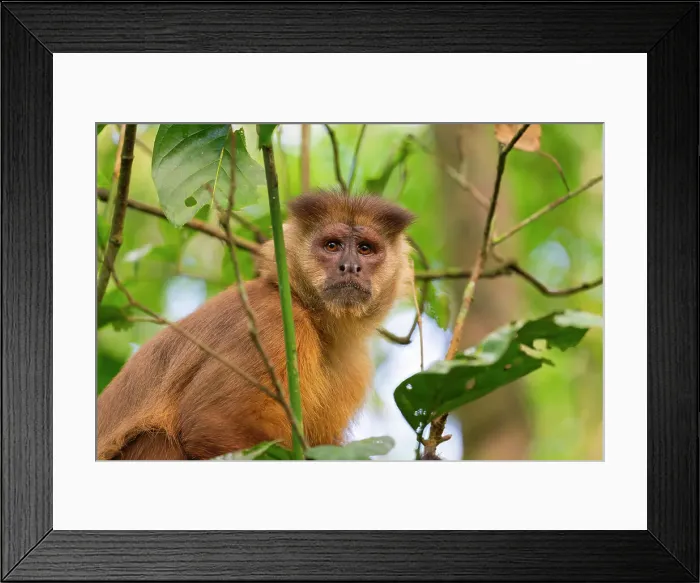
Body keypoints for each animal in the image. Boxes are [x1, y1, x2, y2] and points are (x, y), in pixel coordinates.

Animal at [97, 190, 415, 460]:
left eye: (365, 249)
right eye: (332, 245)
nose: (350, 267)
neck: (314, 317)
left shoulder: (354, 365)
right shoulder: (273, 321)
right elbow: (212, 422)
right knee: (158, 438)